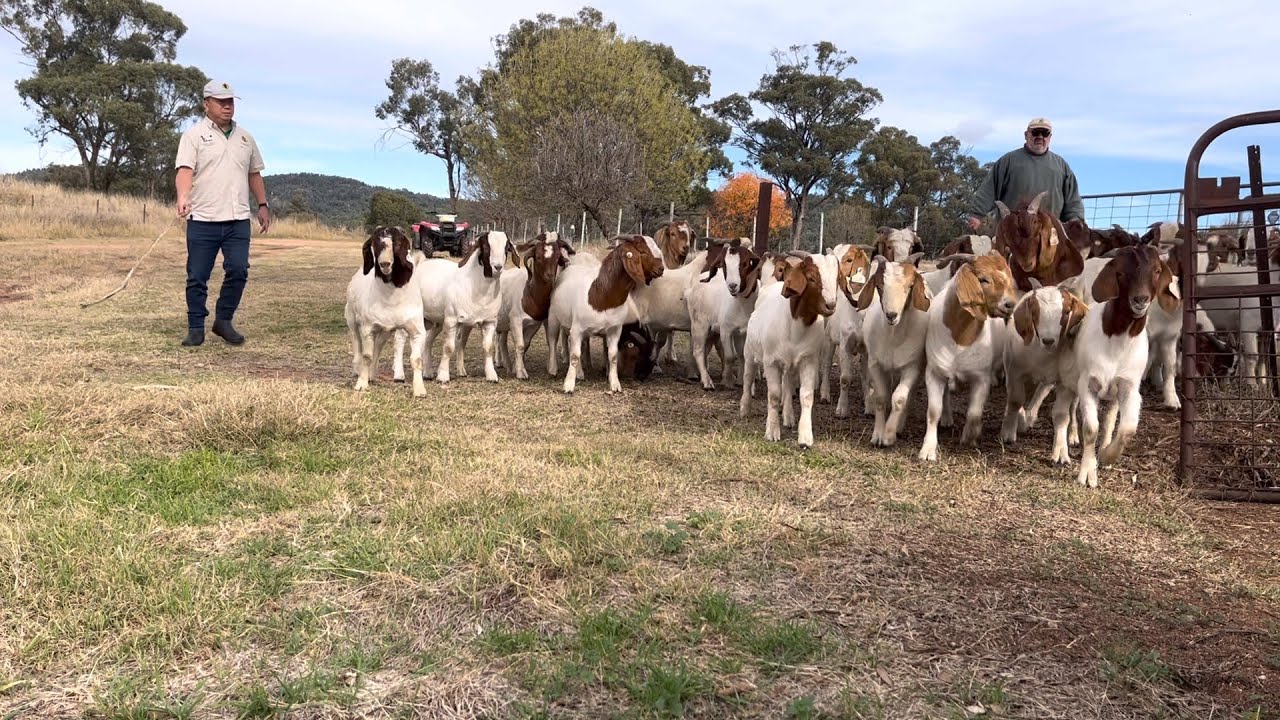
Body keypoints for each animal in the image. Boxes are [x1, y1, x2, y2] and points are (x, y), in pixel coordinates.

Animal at [344, 227, 427, 396]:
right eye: (375, 243)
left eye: (398, 241)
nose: (385, 263)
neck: (391, 299)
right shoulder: (367, 328)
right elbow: (366, 356)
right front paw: (361, 384)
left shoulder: (417, 330)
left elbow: (416, 359)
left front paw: (419, 389)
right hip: (351, 318)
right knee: (356, 342)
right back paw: (357, 370)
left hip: (385, 331)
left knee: (378, 346)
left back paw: (372, 374)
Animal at [917, 253, 1019, 461]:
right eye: (983, 279)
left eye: (1008, 278)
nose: (1010, 305)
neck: (960, 339)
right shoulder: (934, 373)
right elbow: (933, 411)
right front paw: (928, 450)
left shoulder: (981, 377)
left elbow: (974, 412)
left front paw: (970, 437)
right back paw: (947, 419)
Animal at [1050, 245, 1179, 487]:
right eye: (1120, 273)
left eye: (1157, 271)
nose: (1140, 299)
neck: (1116, 342)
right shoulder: (1088, 384)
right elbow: (1090, 428)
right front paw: (1087, 474)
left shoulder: (1129, 387)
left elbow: (1126, 429)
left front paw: (1106, 456)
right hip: (1069, 380)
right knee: (1064, 412)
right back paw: (1061, 449)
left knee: (1109, 418)